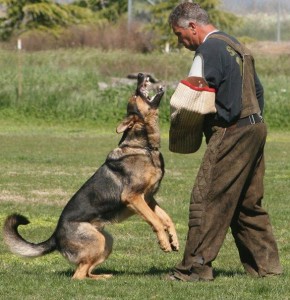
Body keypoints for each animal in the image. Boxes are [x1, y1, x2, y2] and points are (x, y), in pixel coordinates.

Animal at [2, 74, 179, 280]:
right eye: (135, 96)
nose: (142, 75)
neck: (146, 147)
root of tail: (55, 236)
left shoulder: (149, 199)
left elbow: (166, 219)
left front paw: (174, 240)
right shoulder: (134, 198)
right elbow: (156, 221)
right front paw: (164, 243)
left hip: (107, 240)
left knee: (86, 271)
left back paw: (104, 277)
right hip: (98, 240)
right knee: (78, 275)